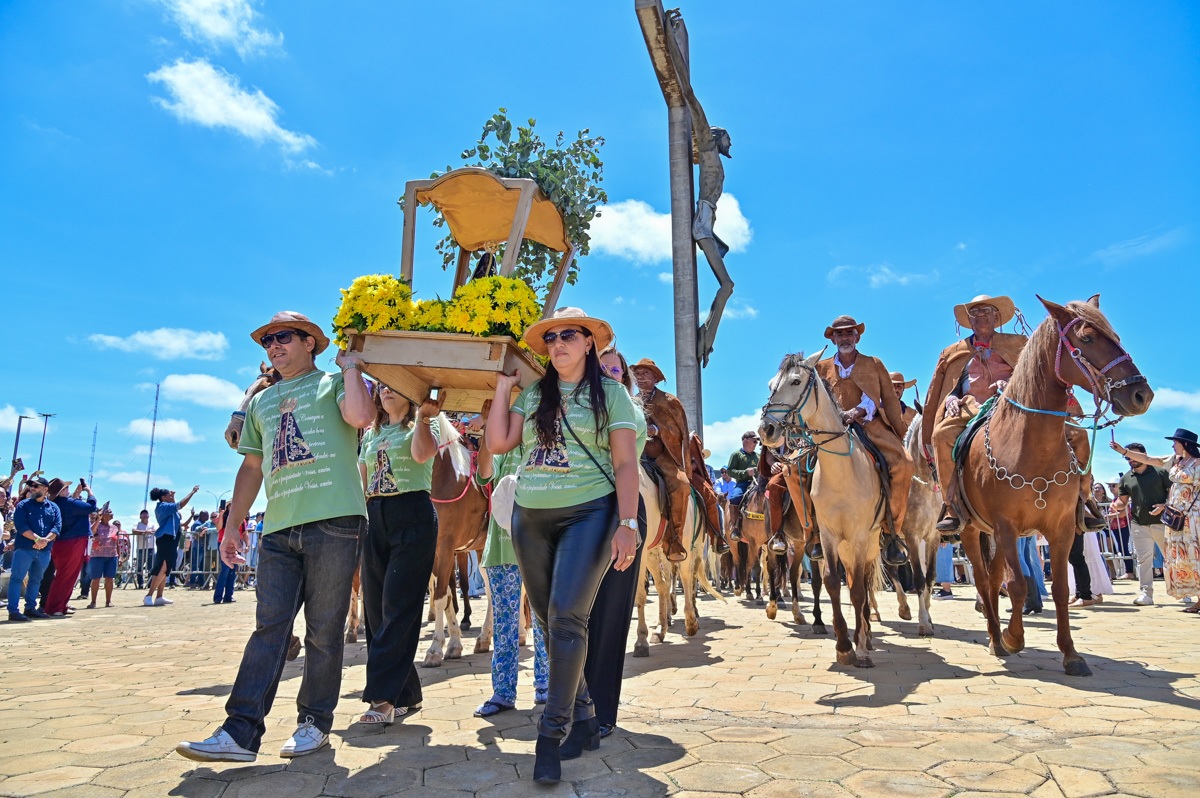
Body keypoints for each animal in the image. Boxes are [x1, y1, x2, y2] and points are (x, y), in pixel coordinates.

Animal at [759, 350, 888, 668]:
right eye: (770, 385)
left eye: (796, 381)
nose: (766, 429)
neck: (843, 471)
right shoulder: (828, 535)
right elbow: (830, 581)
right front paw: (843, 645)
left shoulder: (858, 536)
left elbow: (856, 590)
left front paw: (861, 648)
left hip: (867, 544)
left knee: (863, 582)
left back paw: (866, 635)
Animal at [955, 296, 1151, 675]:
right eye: (1087, 338)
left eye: (1116, 337)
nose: (1141, 394)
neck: (1031, 447)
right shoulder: (1006, 526)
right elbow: (1017, 585)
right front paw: (1014, 637)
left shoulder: (1061, 529)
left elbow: (1059, 587)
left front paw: (1071, 654)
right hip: (973, 529)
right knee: (986, 581)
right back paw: (995, 638)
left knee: (995, 576)